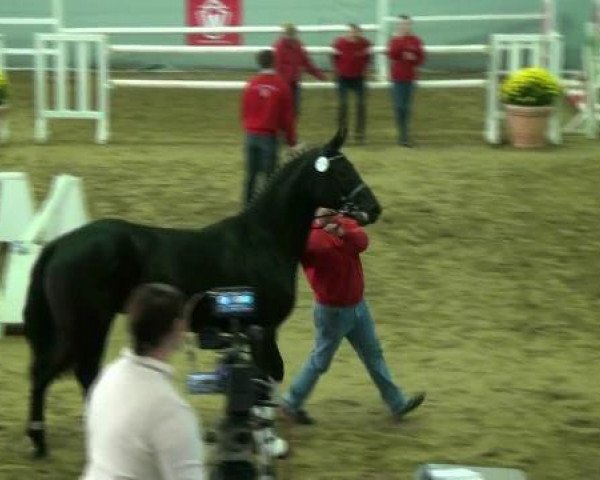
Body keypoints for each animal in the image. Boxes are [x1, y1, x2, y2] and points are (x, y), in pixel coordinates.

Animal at [23, 128, 382, 458]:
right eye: (342, 171)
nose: (373, 208)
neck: (263, 239)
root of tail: (61, 243)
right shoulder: (264, 328)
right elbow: (268, 377)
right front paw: (271, 442)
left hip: (81, 326)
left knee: (59, 372)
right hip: (85, 325)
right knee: (67, 373)